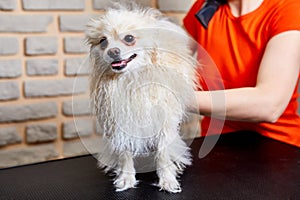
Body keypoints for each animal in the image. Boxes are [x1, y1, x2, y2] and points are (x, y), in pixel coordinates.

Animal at [85, 0, 198, 193]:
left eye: (129, 38)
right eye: (103, 41)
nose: (112, 51)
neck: (132, 78)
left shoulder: (164, 121)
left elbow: (163, 154)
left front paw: (167, 179)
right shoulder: (120, 124)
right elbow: (124, 154)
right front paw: (126, 178)